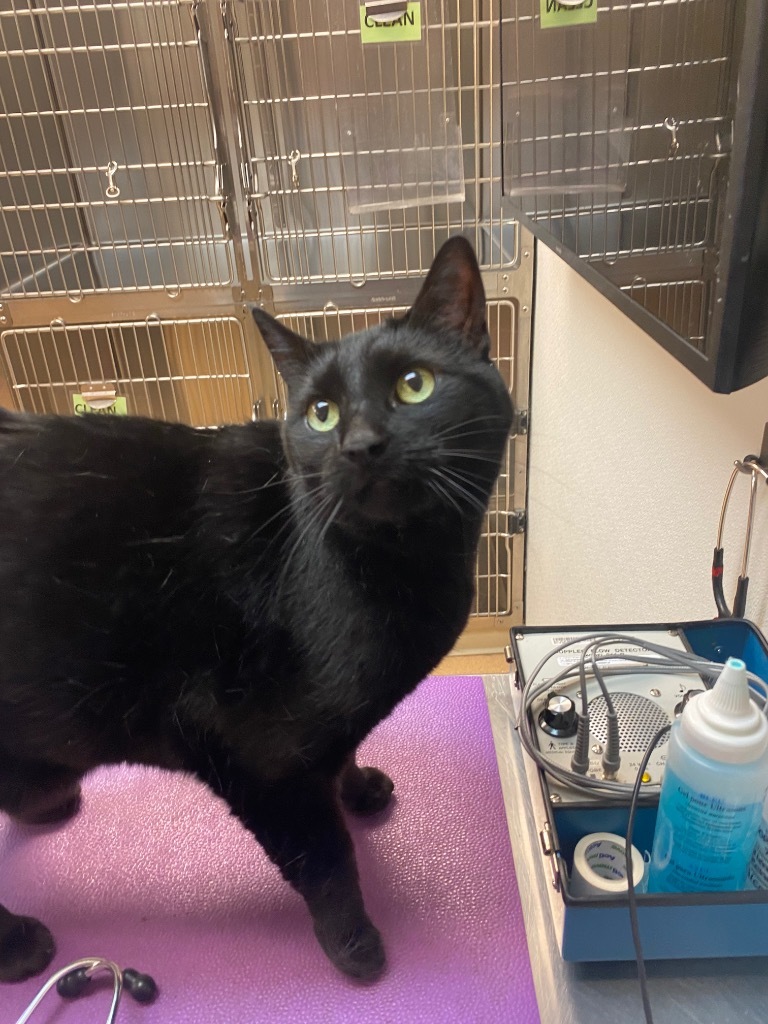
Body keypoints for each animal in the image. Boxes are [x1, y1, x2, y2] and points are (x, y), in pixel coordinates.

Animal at [1, 237, 518, 983]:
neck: (400, 569)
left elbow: (344, 749)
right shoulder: (251, 755)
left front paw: (357, 786)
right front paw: (353, 944)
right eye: (320, 412)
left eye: (414, 385)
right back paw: (18, 944)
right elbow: (325, 859)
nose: (360, 445)